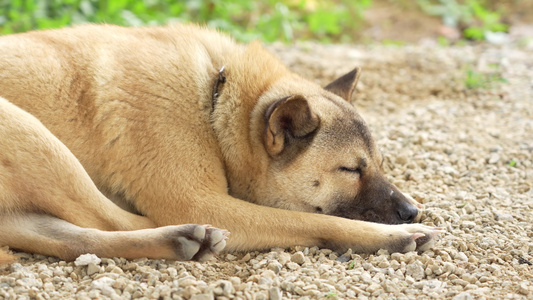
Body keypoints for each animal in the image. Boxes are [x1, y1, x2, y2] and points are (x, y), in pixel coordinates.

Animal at [0, 24, 440, 262]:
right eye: (350, 169)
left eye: (379, 164)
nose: (411, 211)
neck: (215, 98)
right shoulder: (201, 201)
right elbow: (310, 219)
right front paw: (389, 235)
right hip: (36, 137)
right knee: (105, 220)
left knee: (77, 237)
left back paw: (176, 241)